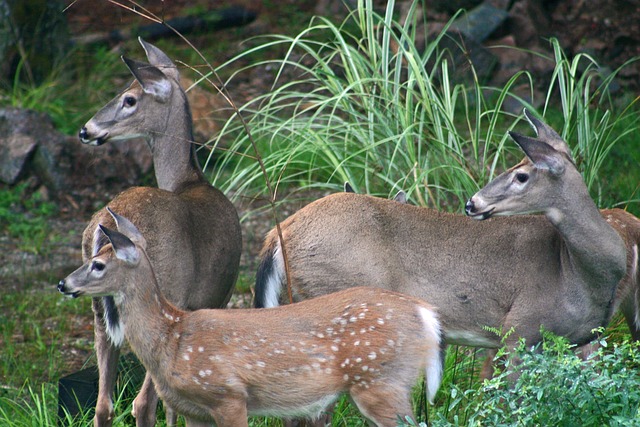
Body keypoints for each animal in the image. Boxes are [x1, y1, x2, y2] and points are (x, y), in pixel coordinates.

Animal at [57, 210, 442, 427]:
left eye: (97, 264)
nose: (63, 284)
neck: (172, 338)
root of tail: (425, 314)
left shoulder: (228, 395)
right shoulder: (193, 411)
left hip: (381, 380)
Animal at [77, 38, 242, 426]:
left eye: (129, 98)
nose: (86, 129)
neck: (190, 180)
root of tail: (105, 229)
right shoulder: (215, 298)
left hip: (98, 311)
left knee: (104, 405)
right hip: (162, 296)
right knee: (143, 402)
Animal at [255, 109, 632, 368]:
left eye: (521, 175)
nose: (472, 202)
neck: (577, 273)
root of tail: (279, 232)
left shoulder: (581, 341)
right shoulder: (519, 329)